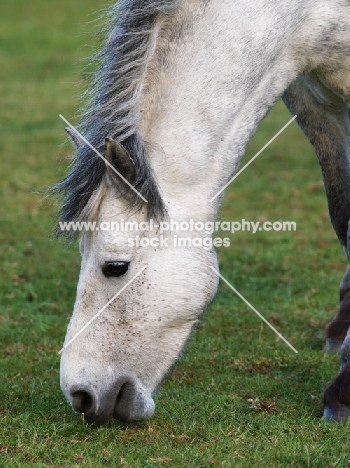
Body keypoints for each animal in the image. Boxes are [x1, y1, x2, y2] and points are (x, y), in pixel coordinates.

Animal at [55, 0, 350, 424]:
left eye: (115, 267)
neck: (304, 14)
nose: (79, 396)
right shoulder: (313, 96)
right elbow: (343, 212)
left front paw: (343, 392)